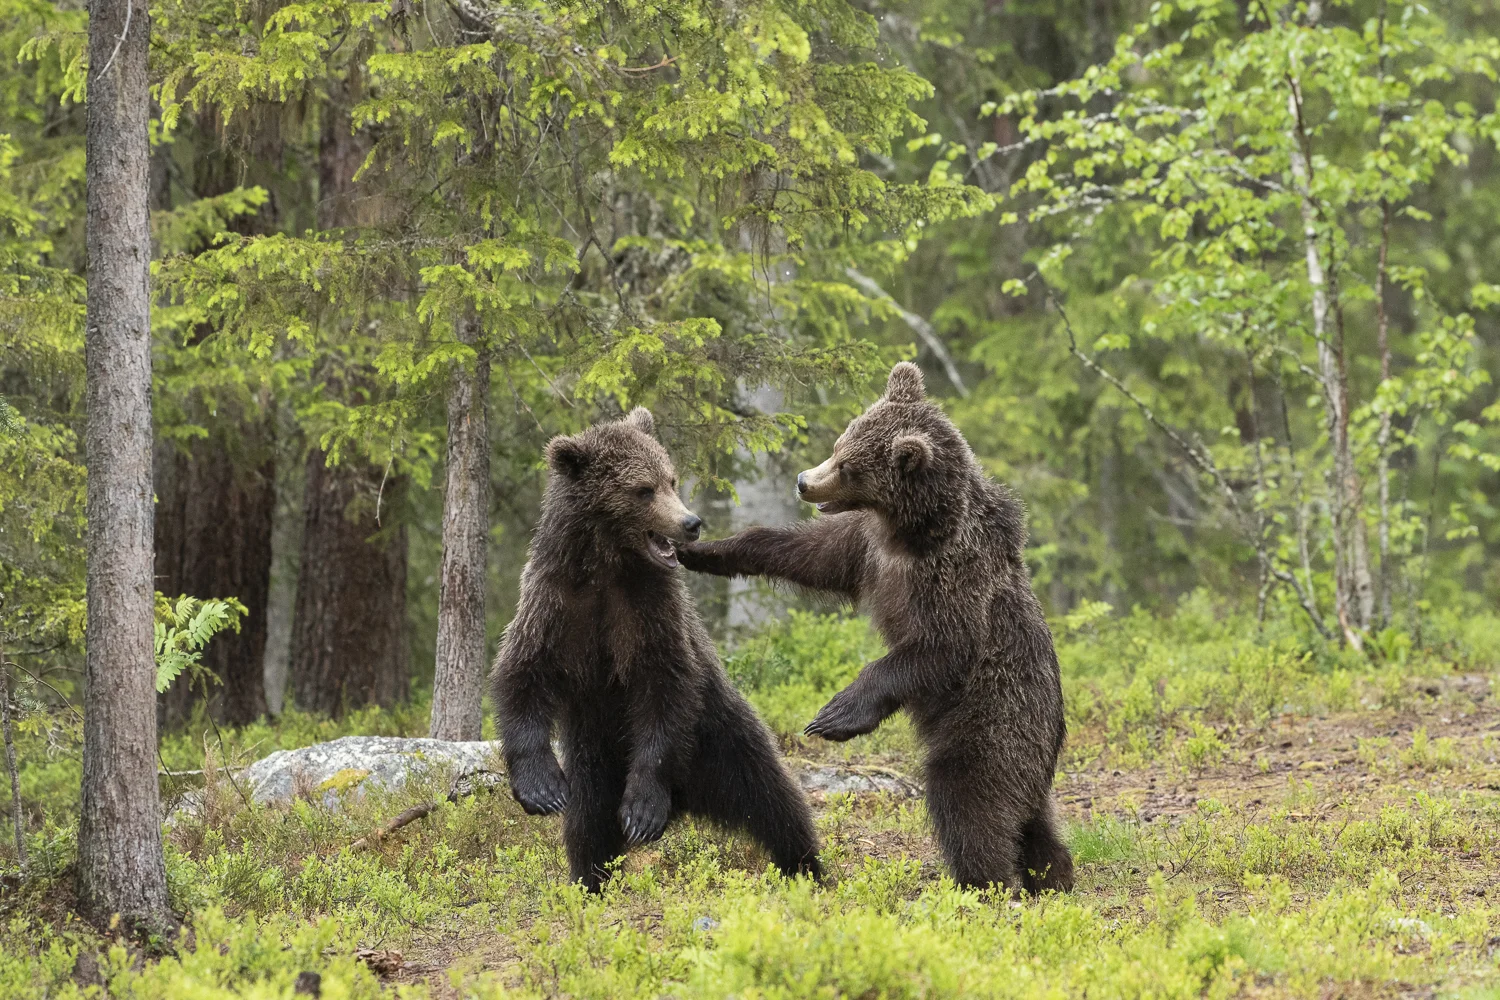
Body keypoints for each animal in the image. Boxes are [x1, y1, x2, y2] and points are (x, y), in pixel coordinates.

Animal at [492, 406, 824, 891]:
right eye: (643, 489)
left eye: (671, 478)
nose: (691, 523)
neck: (608, 564)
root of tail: (687, 802)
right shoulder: (556, 603)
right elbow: (522, 672)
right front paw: (543, 789)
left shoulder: (650, 611)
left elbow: (665, 685)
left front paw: (643, 811)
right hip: (597, 764)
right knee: (588, 828)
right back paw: (588, 883)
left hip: (724, 740)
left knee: (774, 803)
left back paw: (807, 868)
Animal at [679, 362, 1074, 894]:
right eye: (840, 443)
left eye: (848, 465)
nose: (804, 481)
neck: (909, 532)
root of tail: (1049, 748)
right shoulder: (866, 549)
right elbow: (805, 553)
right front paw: (705, 550)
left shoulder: (949, 582)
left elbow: (938, 649)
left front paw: (834, 716)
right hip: (1022, 759)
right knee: (1034, 822)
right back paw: (1054, 875)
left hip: (992, 724)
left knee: (969, 800)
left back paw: (982, 881)